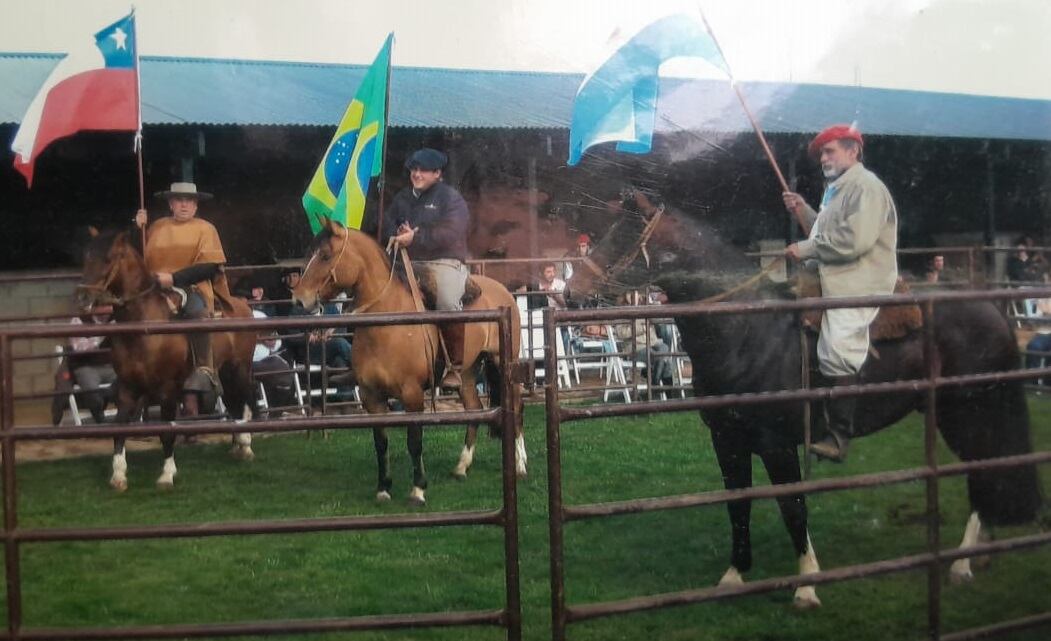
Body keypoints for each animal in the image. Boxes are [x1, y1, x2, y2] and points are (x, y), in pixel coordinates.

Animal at [76, 229, 257, 489]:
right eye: (86, 256)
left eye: (109, 259)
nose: (82, 297)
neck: (144, 327)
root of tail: (242, 306)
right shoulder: (127, 387)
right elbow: (119, 428)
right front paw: (118, 474)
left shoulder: (168, 388)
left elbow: (167, 430)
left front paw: (167, 474)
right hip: (223, 370)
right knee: (234, 402)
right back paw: (237, 446)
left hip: (240, 367)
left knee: (246, 399)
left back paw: (246, 444)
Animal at [290, 219, 523, 504]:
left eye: (325, 255)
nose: (299, 299)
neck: (388, 323)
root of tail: (502, 293)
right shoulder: (371, 397)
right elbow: (381, 443)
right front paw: (383, 487)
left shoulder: (412, 395)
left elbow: (414, 440)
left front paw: (418, 489)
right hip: (467, 372)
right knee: (474, 408)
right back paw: (461, 466)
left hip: (504, 364)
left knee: (517, 406)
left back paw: (520, 464)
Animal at [567, 189, 1042, 605]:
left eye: (625, 233)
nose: (571, 292)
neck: (747, 331)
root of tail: (991, 307)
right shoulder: (727, 440)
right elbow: (737, 505)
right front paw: (734, 576)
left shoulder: (776, 444)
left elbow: (792, 507)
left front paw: (807, 586)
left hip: (967, 410)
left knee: (982, 463)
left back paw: (962, 562)